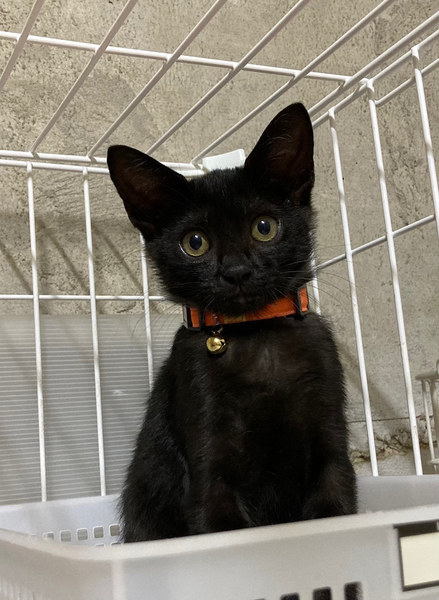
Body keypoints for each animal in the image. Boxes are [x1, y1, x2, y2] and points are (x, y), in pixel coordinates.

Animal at [107, 103, 357, 547]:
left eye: (264, 227)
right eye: (195, 243)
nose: (236, 271)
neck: (257, 337)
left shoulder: (332, 446)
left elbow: (336, 505)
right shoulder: (210, 460)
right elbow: (218, 519)